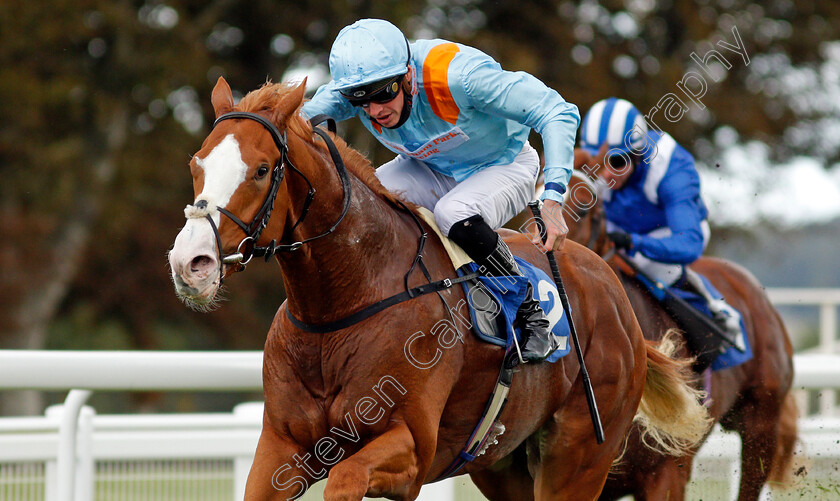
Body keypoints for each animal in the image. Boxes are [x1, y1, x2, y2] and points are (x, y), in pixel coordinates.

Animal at [167, 76, 712, 498]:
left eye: (261, 170)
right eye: (196, 164)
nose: (191, 262)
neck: (342, 305)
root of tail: (615, 293)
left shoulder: (409, 447)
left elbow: (345, 480)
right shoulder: (281, 447)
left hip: (578, 460)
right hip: (503, 466)